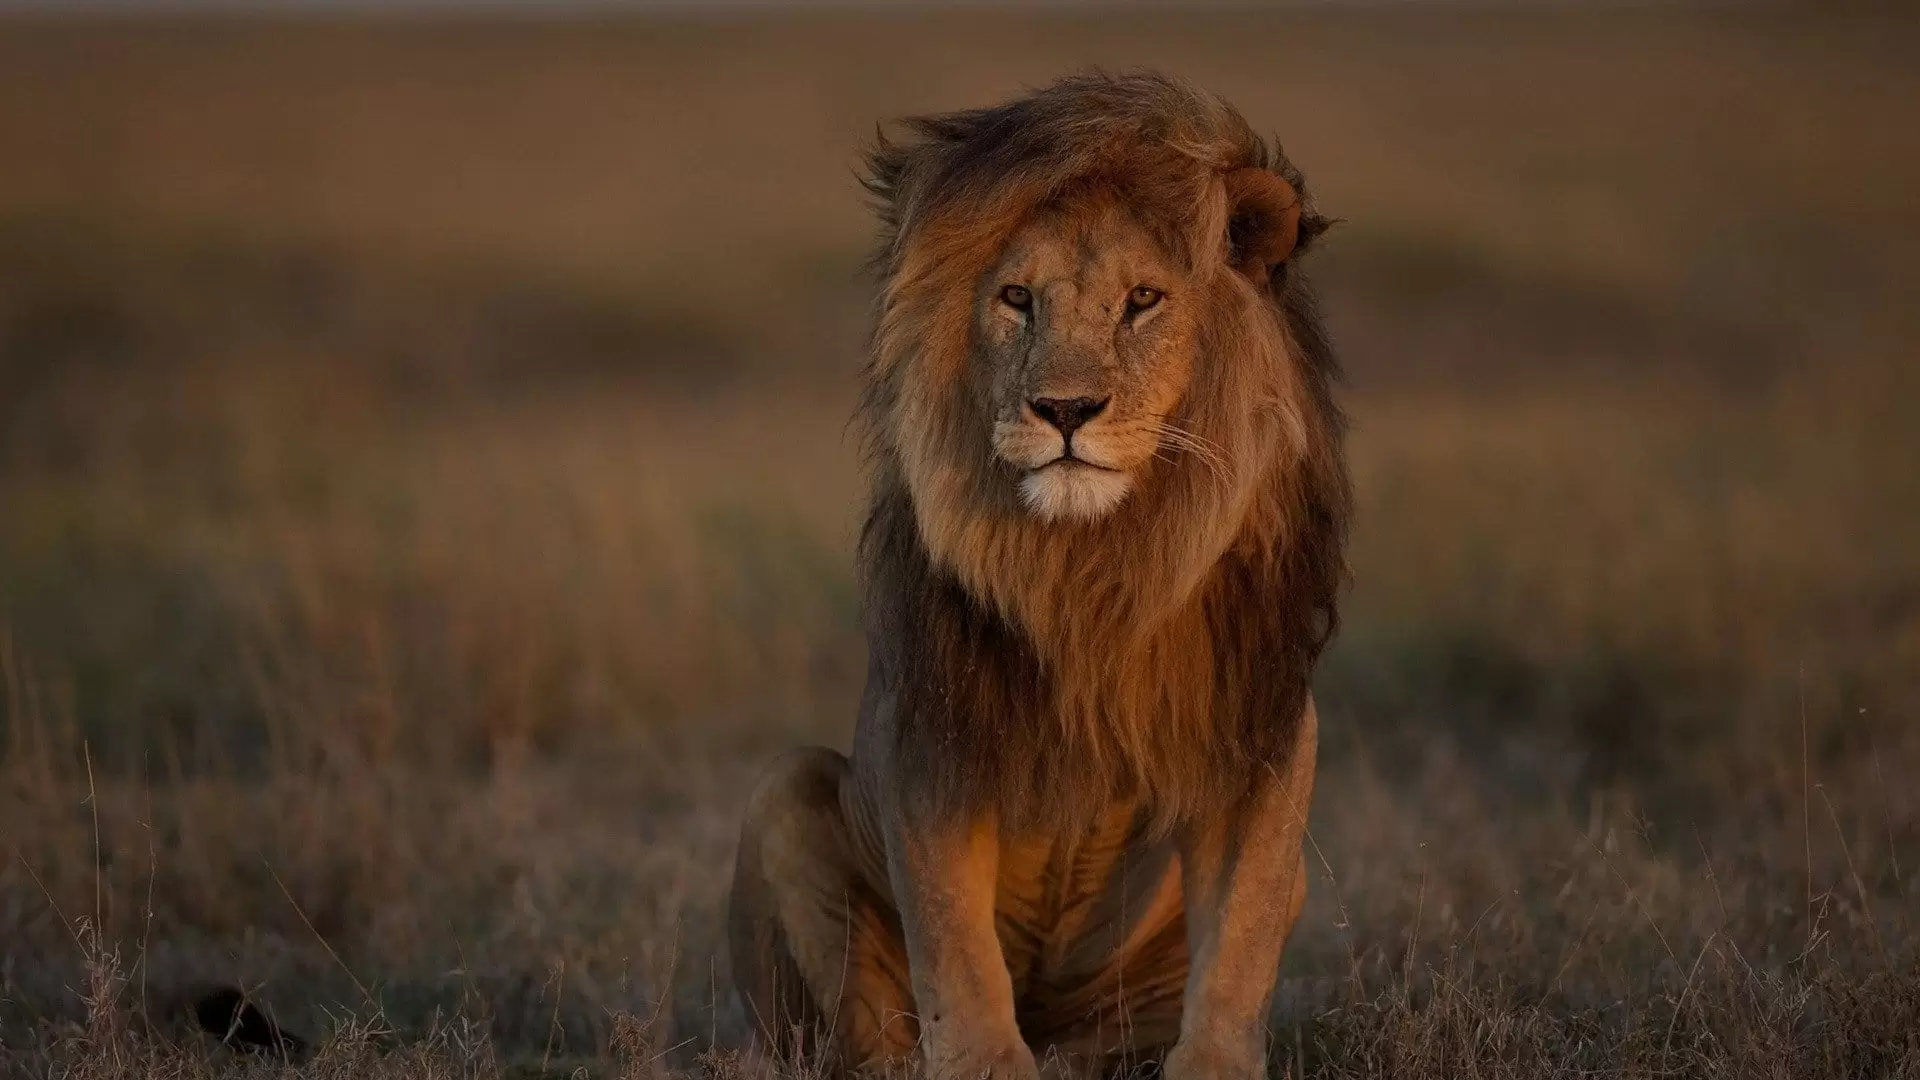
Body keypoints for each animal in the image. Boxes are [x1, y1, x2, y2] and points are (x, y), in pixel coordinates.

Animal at [727, 72, 1350, 1080]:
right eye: (1017, 298)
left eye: (1143, 300)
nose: (1064, 409)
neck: (1087, 565)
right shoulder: (930, 730)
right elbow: (955, 942)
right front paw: (983, 1062)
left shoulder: (1259, 726)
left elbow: (1243, 932)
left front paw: (1214, 1064)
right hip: (784, 794)